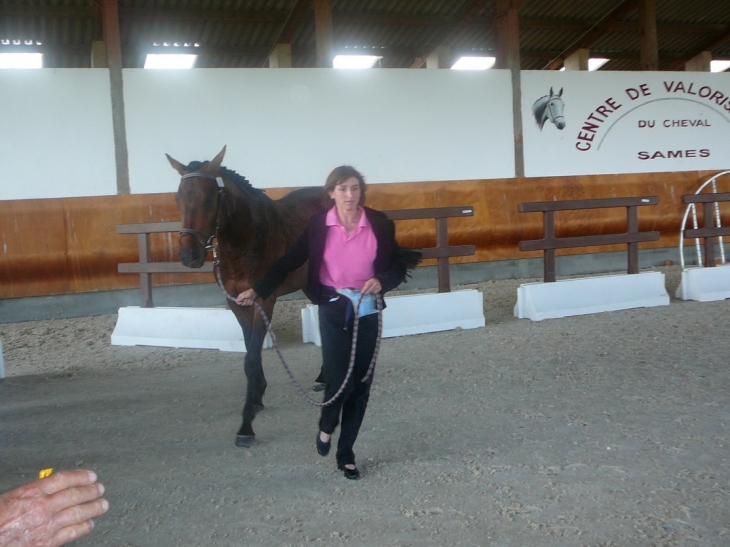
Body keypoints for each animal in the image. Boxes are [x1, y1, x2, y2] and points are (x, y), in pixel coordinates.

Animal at [166, 148, 326, 448]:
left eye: (209, 199)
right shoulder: (236, 302)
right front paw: (257, 397)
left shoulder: (263, 301)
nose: (189, 256)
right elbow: (250, 351)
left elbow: (251, 357)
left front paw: (246, 424)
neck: (247, 240)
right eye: (178, 198)